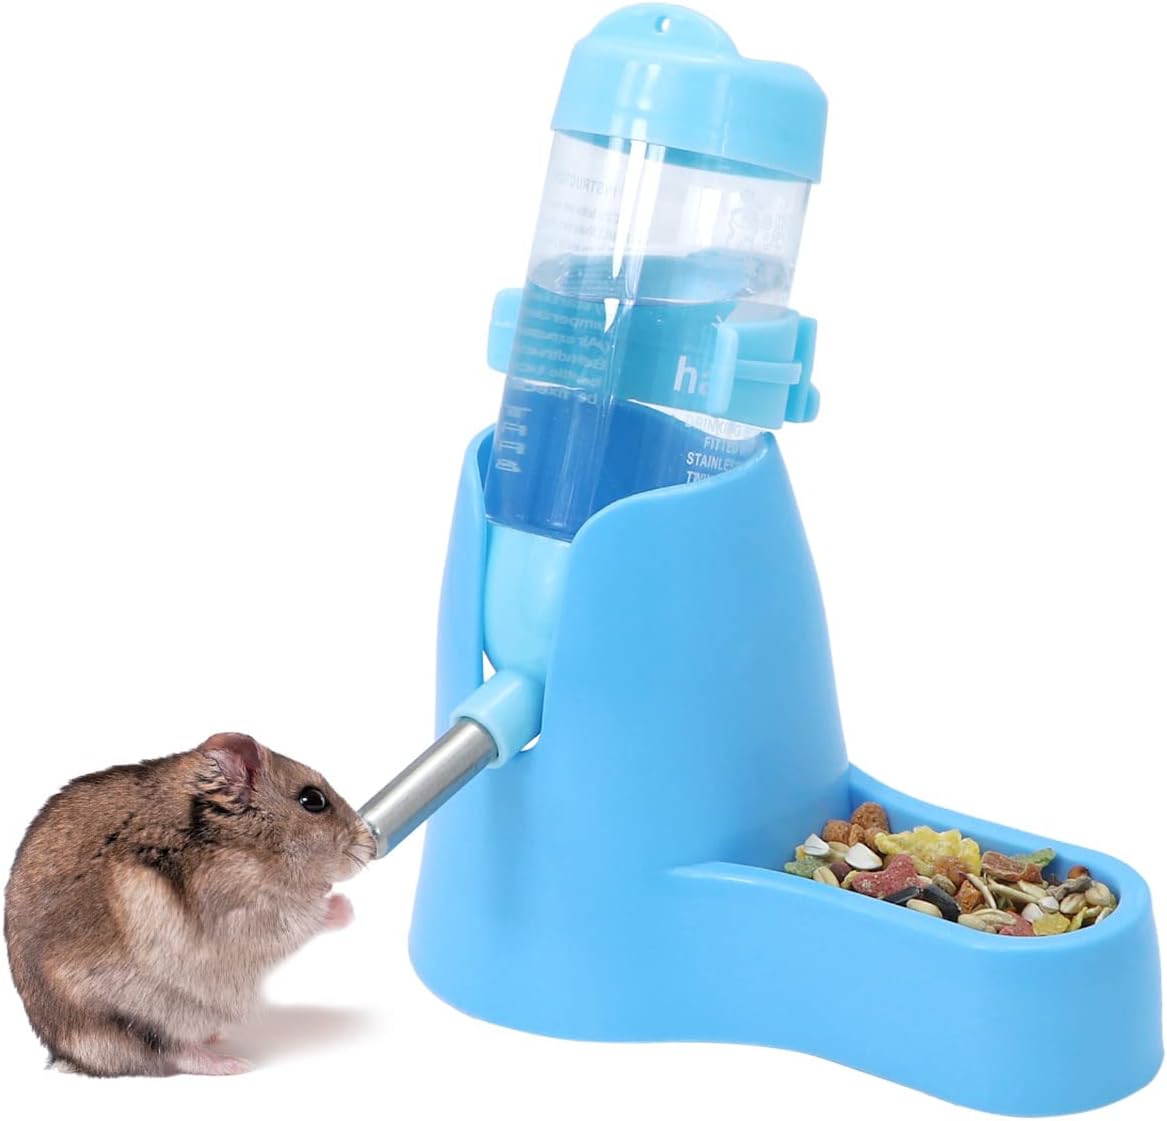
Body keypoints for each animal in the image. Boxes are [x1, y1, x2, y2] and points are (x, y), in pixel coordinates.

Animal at [4, 732, 375, 1076]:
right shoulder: (247, 909)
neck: (238, 836)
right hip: (149, 1010)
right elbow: (305, 917)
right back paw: (233, 1064)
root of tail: (67, 1055)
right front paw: (344, 905)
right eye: (313, 800)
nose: (371, 846)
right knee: (172, 1050)